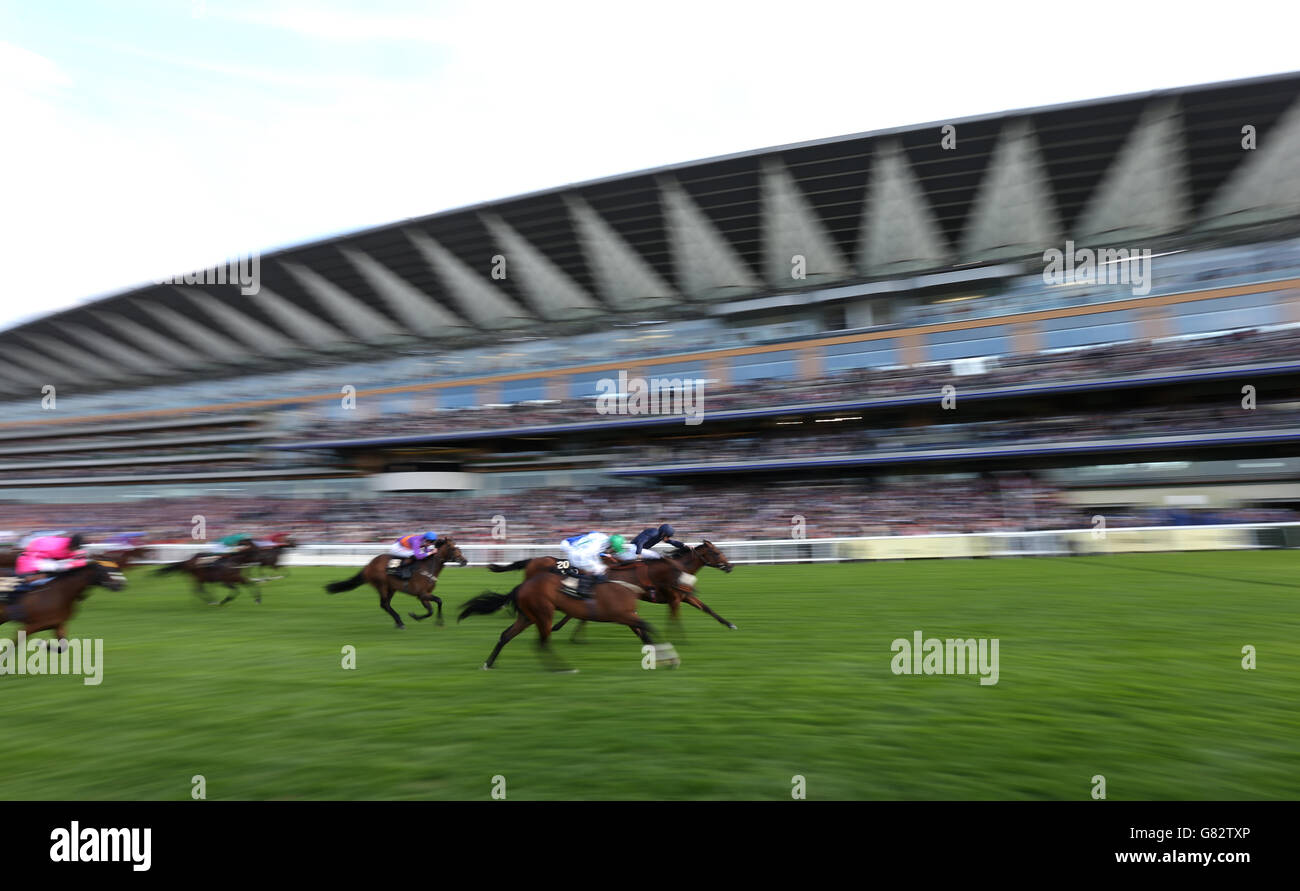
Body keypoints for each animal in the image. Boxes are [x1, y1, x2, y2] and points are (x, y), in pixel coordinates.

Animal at [323, 535, 467, 624]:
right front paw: (435, 621)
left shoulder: (424, 595)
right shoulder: (421, 594)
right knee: (384, 604)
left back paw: (398, 621)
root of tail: (369, 565)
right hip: (382, 585)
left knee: (386, 604)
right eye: (453, 548)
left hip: (391, 588)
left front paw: (416, 617)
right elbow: (439, 601)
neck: (428, 566)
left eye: (459, 548)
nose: (465, 561)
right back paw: (399, 622)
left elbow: (431, 609)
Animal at [457, 567, 681, 671]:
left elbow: (646, 635)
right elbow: (650, 628)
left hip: (528, 617)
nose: (681, 593)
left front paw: (664, 659)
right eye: (673, 573)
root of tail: (522, 586)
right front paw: (672, 658)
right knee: (543, 642)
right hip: (544, 613)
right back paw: (563, 668)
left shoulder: (629, 616)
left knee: (506, 635)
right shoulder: (622, 615)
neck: (623, 583)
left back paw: (488, 664)